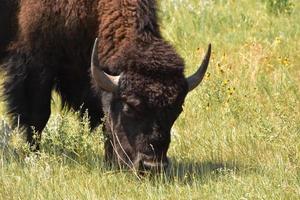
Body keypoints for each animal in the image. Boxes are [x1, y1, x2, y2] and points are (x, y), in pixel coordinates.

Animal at [1, 0, 211, 172]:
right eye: (129, 107)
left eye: (177, 110)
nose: (152, 166)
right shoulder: (35, 63)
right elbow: (37, 117)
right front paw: (33, 157)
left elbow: (105, 119)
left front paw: (110, 163)